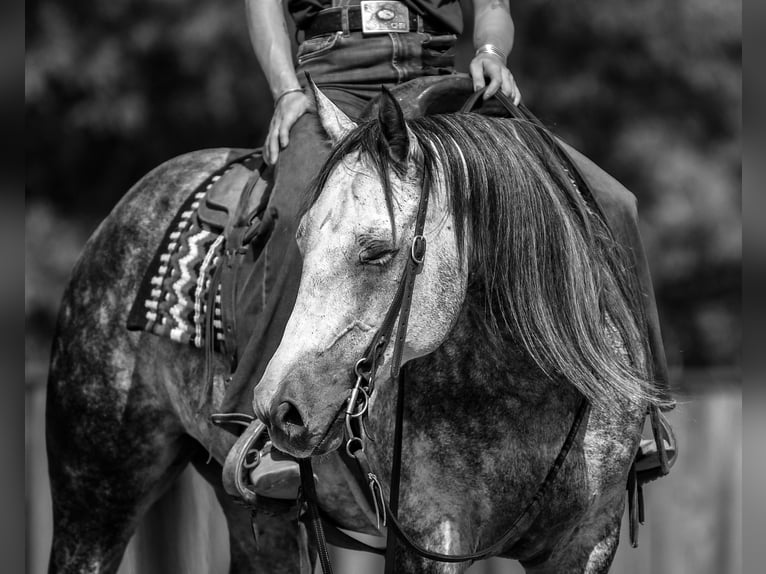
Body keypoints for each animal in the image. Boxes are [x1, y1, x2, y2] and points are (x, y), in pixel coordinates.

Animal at [45, 78, 662, 574]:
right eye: (299, 241)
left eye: (377, 251)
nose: (279, 409)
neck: (524, 390)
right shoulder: (427, 535)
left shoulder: (587, 539)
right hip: (93, 494)